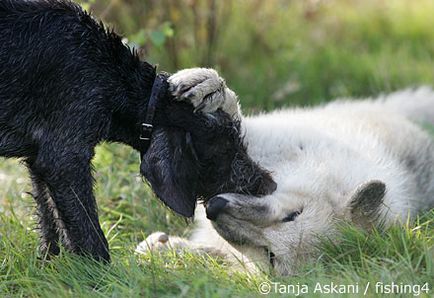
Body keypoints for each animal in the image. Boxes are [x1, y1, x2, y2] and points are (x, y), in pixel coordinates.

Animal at [0, 0, 274, 260]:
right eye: (226, 146)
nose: (269, 184)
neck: (110, 75)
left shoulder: (38, 160)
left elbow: (50, 223)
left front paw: (50, 264)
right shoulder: (64, 157)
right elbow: (90, 235)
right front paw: (102, 274)